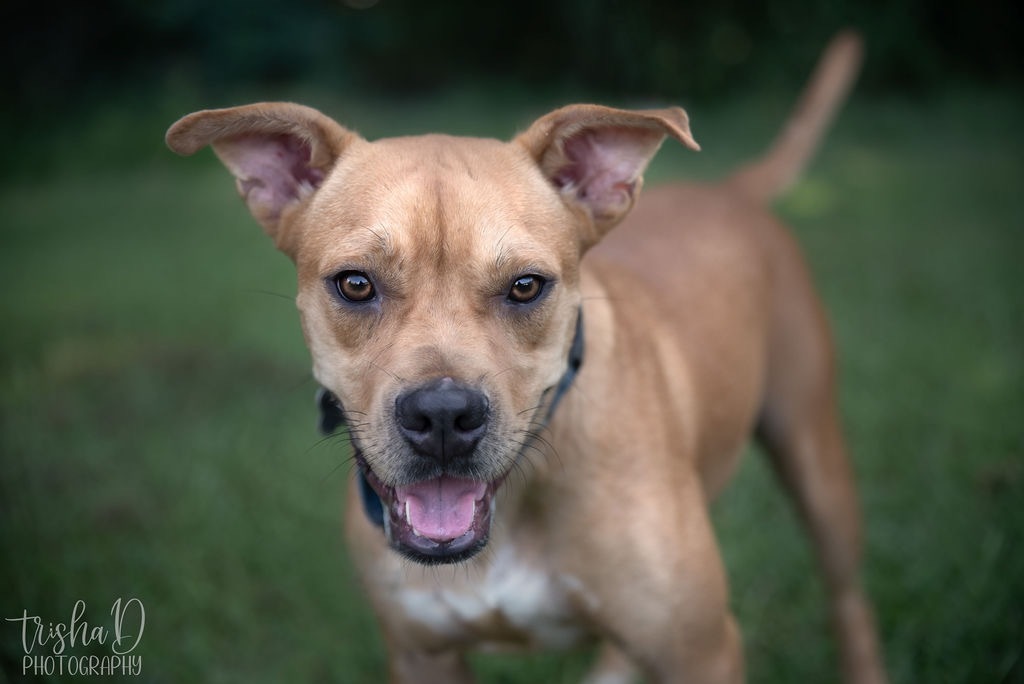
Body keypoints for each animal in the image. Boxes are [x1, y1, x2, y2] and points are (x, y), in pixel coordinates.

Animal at [167, 31, 888, 684]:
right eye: (355, 284)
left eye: (525, 286)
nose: (443, 415)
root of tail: (729, 192)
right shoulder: (422, 654)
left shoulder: (700, 650)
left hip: (814, 456)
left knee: (848, 596)